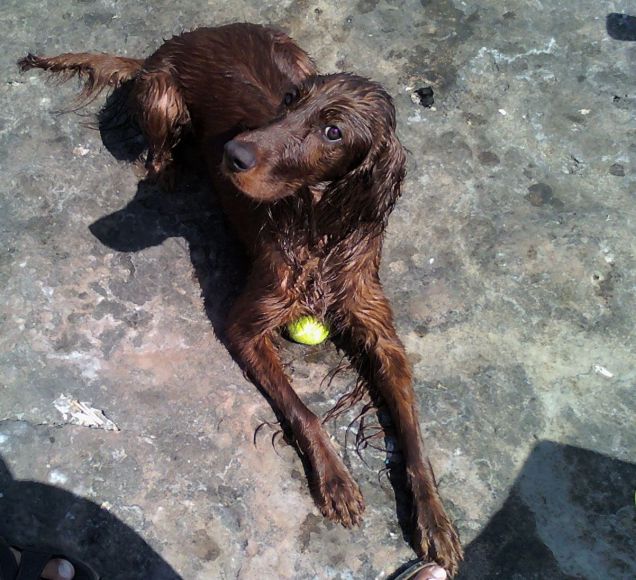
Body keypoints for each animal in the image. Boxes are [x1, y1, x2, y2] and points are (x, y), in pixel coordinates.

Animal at [17, 23, 460, 576]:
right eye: (291, 100)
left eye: (334, 132)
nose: (234, 153)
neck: (319, 226)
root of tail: (169, 45)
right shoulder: (245, 324)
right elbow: (304, 411)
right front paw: (336, 480)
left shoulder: (379, 334)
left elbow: (413, 432)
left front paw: (436, 518)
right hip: (163, 95)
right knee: (159, 147)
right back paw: (168, 171)